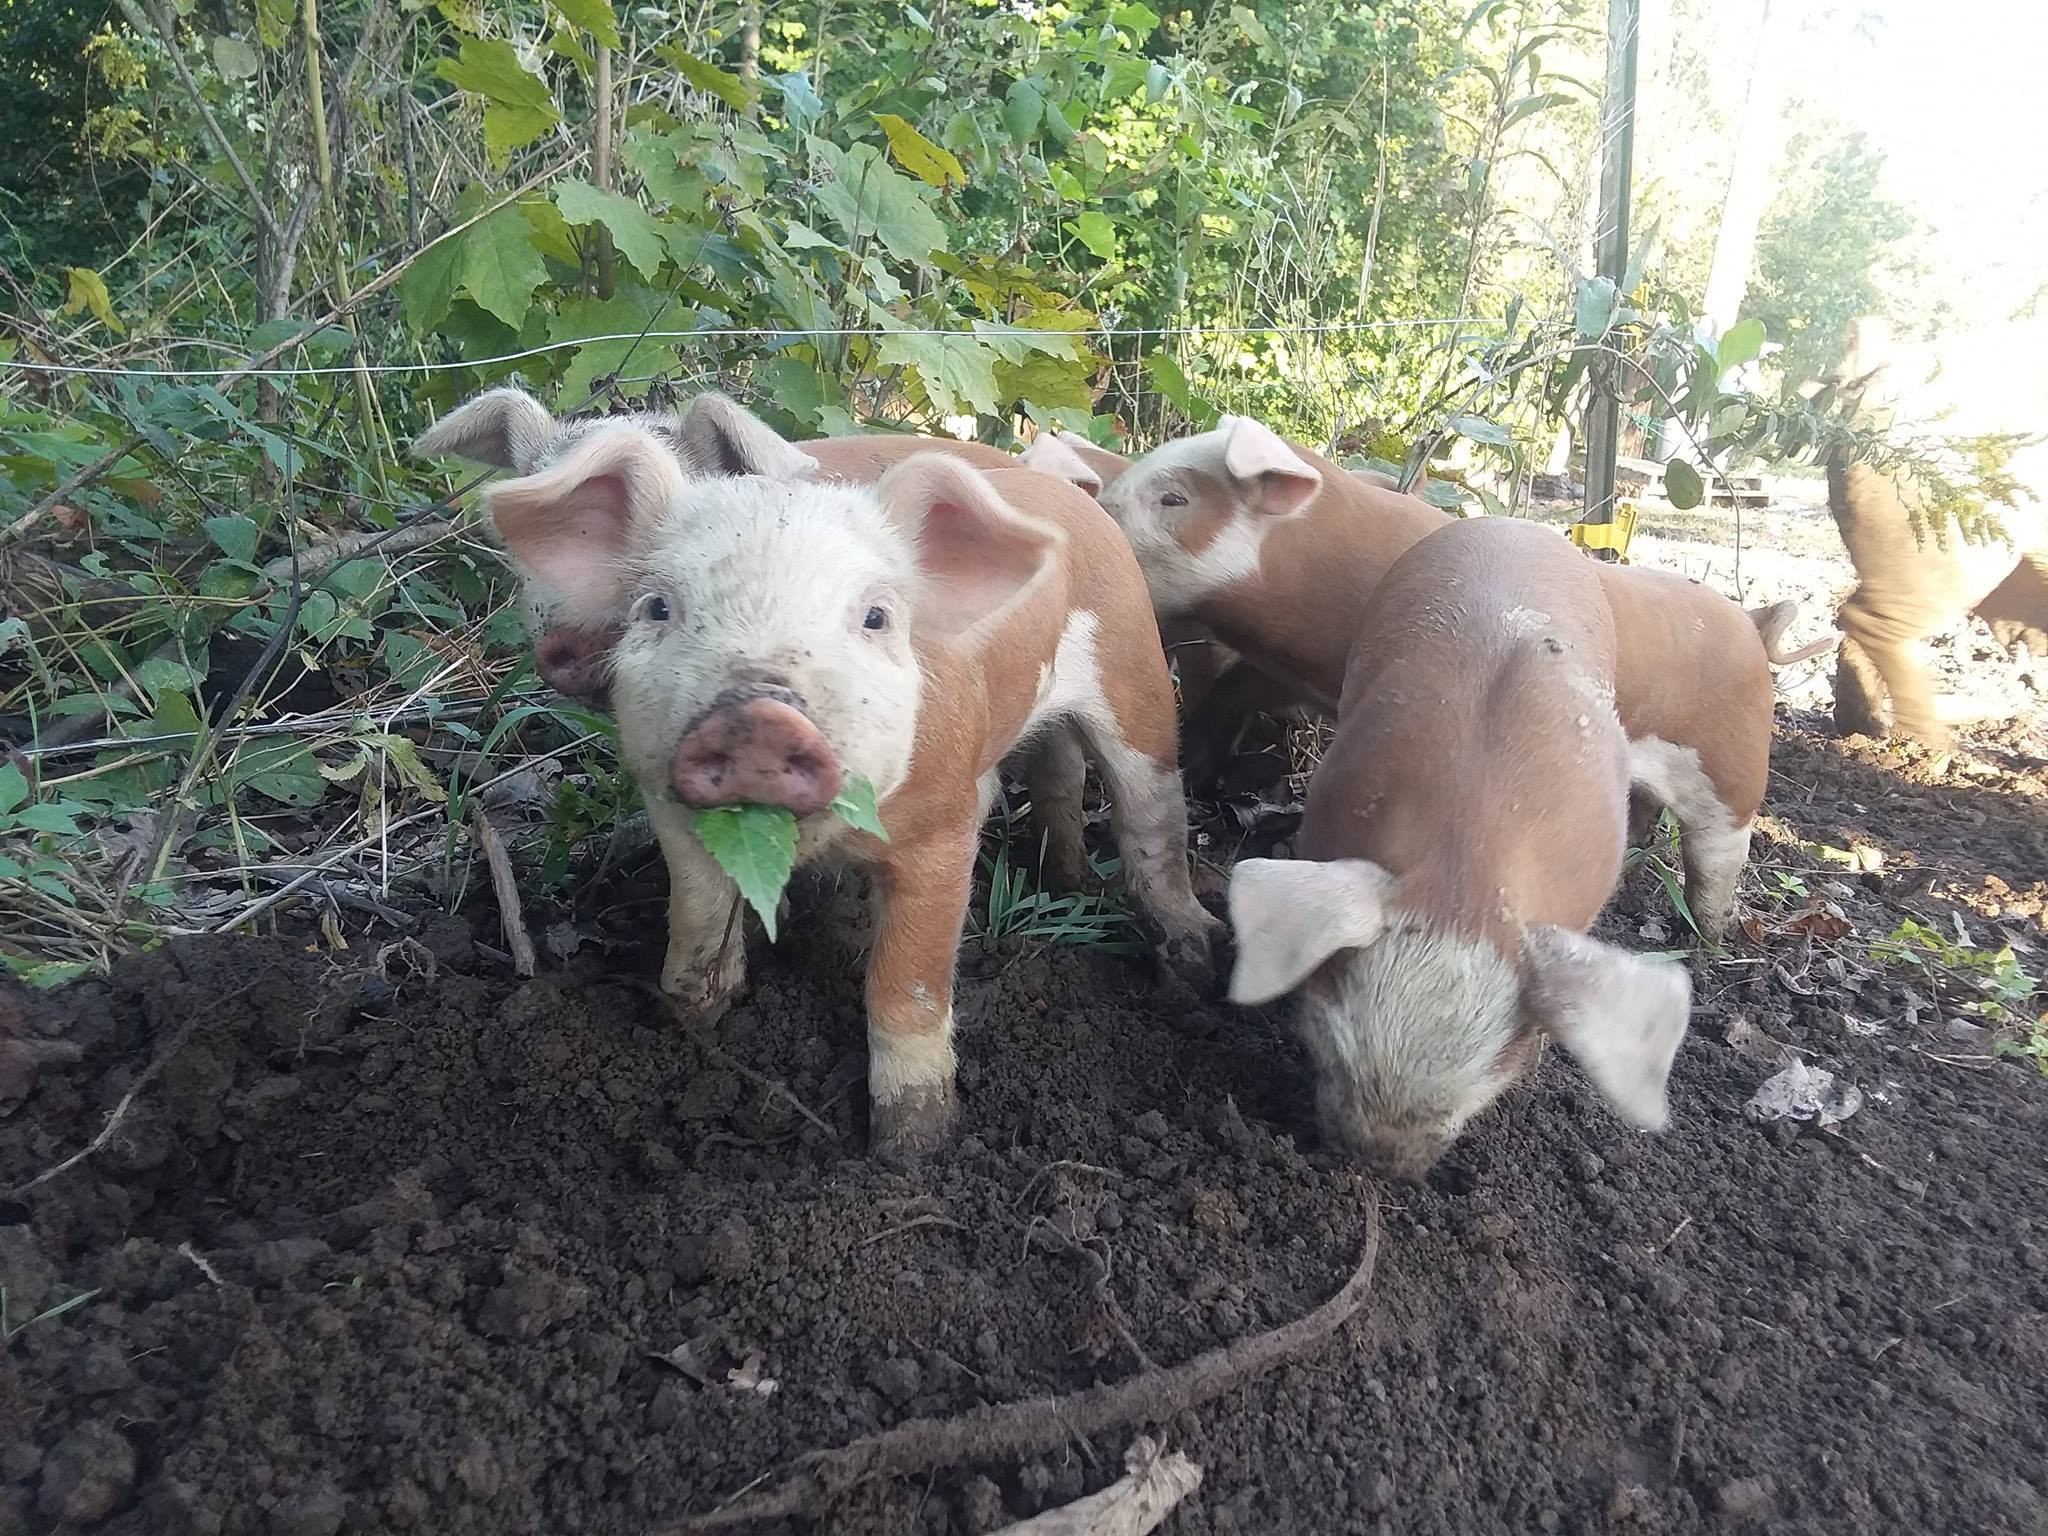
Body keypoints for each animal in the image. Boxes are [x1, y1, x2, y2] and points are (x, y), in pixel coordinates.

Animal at [476, 412, 1219, 1160]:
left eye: (875, 617)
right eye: (656, 607)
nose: (757, 713)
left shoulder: (942, 831)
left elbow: (907, 984)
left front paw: (913, 1148)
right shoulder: (673, 812)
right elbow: (696, 923)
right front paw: (694, 1018)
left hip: (1135, 673)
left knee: (1152, 819)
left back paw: (1193, 957)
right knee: (1060, 772)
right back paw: (1067, 881)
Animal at [1099, 415, 1818, 940]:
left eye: (1173, 496)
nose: (1096, 503)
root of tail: (1752, 625)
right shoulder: (1295, 674)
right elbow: (1231, 692)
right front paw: (1195, 768)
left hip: (1734, 769)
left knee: (1719, 853)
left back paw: (1706, 938)